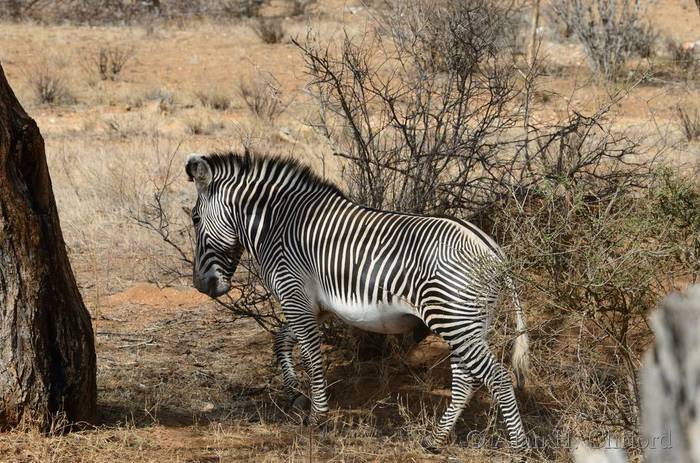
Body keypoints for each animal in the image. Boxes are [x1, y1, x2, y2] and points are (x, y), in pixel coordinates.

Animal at [186, 151, 532, 454]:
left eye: (194, 218)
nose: (201, 286)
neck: (277, 223)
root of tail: (491, 249)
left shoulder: (294, 294)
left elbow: (311, 355)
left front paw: (317, 415)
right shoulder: (315, 306)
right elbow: (282, 341)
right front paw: (295, 396)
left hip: (453, 319)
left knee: (498, 378)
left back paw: (520, 448)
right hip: (468, 322)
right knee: (465, 381)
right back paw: (434, 440)